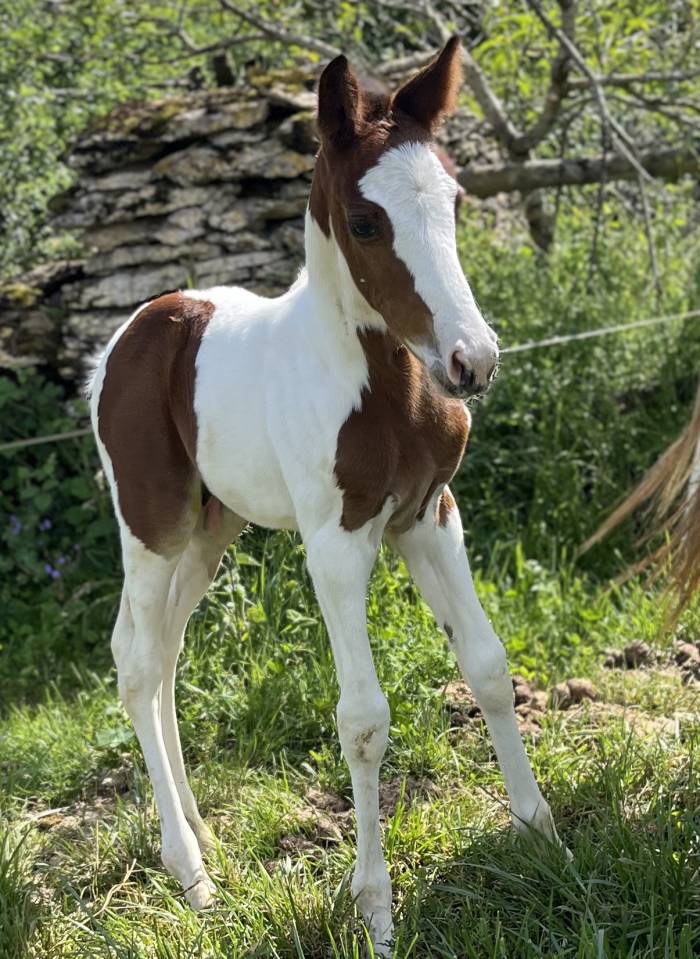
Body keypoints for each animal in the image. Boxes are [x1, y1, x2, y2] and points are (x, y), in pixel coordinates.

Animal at [88, 38, 562, 954]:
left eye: (454, 199)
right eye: (367, 221)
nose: (473, 360)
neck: (384, 387)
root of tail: (129, 335)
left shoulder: (430, 515)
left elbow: (488, 666)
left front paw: (539, 834)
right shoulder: (336, 543)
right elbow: (364, 718)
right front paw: (375, 909)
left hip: (213, 527)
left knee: (167, 651)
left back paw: (201, 834)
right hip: (151, 524)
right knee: (135, 659)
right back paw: (190, 873)